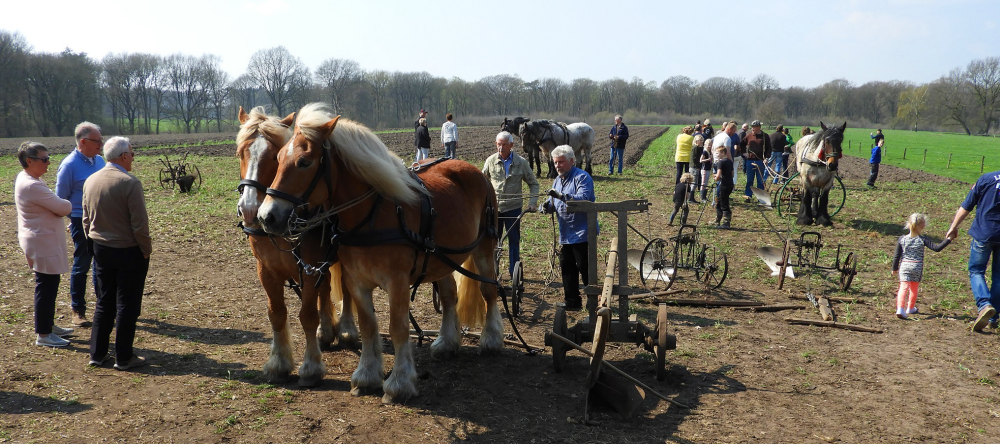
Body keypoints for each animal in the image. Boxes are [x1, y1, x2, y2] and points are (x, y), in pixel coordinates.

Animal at [234, 106, 360, 386]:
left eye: (273, 156)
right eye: (240, 153)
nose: (249, 209)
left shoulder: (310, 267)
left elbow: (307, 315)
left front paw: (311, 367)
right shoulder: (267, 269)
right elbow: (277, 313)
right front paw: (278, 363)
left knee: (345, 287)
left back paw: (346, 329)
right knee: (326, 289)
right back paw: (327, 330)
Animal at [258, 103, 504, 402]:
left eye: (305, 162)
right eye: (278, 157)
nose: (267, 217)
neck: (371, 215)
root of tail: (473, 169)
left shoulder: (397, 282)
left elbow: (398, 328)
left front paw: (399, 382)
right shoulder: (357, 281)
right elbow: (368, 326)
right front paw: (366, 375)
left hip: (484, 247)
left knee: (489, 290)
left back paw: (491, 339)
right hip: (440, 258)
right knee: (448, 297)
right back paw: (447, 342)